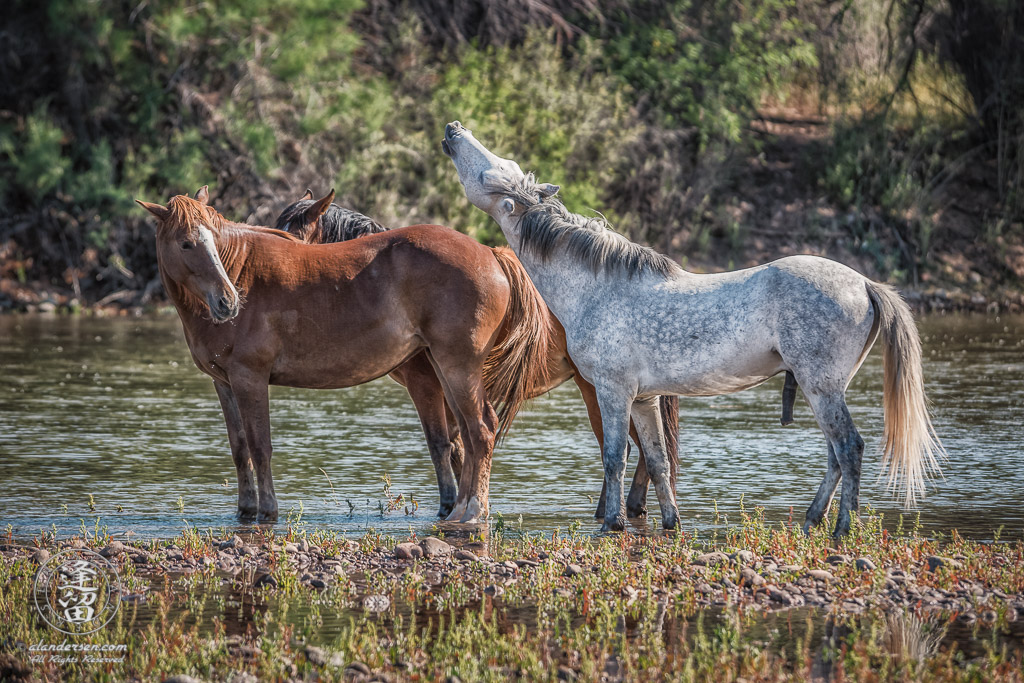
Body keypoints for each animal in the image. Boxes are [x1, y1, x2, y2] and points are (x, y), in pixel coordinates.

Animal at [140, 187, 552, 524]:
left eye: (210, 239)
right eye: (186, 243)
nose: (228, 302)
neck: (243, 271)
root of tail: (491, 254)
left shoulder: (250, 378)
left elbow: (260, 446)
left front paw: (267, 511)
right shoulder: (223, 383)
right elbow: (240, 448)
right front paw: (244, 509)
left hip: (457, 367)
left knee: (480, 430)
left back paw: (473, 512)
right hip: (446, 369)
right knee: (468, 433)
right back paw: (463, 508)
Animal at [272, 188, 679, 518]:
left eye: (293, 236)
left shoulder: (426, 384)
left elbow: (441, 443)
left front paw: (450, 504)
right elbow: (459, 444)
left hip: (596, 389)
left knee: (629, 448)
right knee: (644, 449)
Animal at [440, 122, 942, 540]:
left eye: (490, 169)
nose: (453, 128)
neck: (596, 288)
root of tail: (864, 283)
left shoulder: (613, 391)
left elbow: (615, 458)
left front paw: (612, 524)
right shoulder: (644, 399)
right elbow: (658, 461)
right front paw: (670, 523)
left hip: (822, 387)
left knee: (849, 449)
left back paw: (841, 529)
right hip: (824, 389)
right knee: (836, 456)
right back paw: (812, 520)